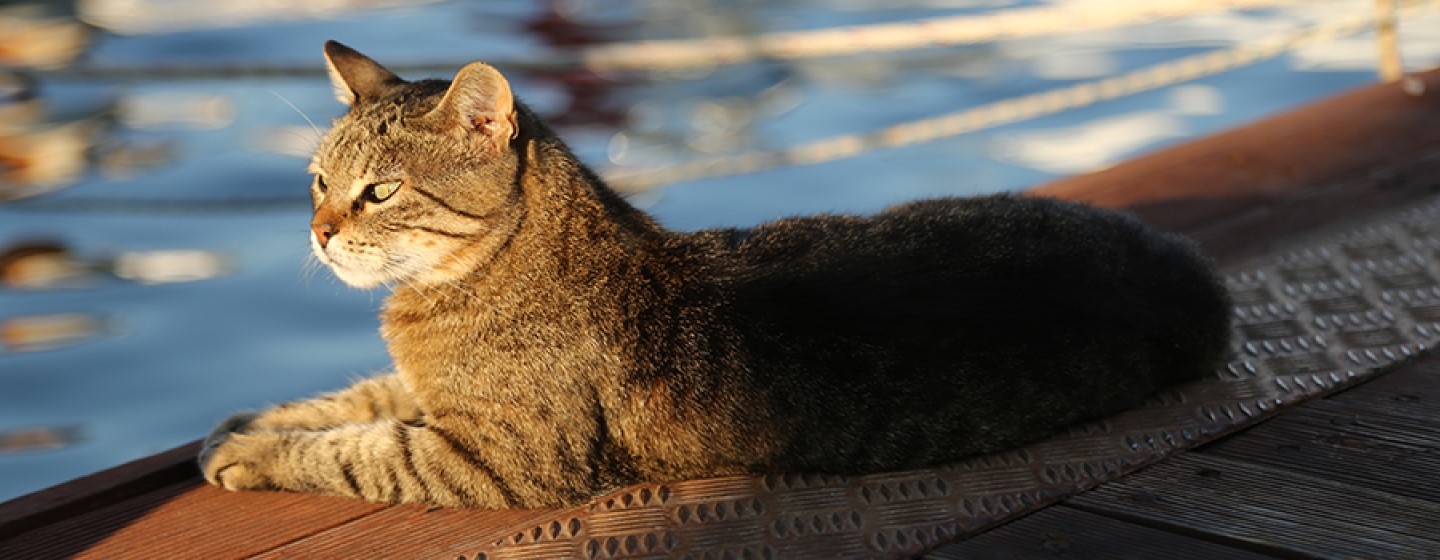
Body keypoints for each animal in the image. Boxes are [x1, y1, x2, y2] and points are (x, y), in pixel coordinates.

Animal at [197, 41, 1232, 509]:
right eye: (317, 182)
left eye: (377, 192)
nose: (319, 231)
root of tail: (1193, 274)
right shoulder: (420, 391)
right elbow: (352, 399)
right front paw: (243, 423)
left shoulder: (497, 459)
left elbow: (359, 447)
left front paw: (254, 453)